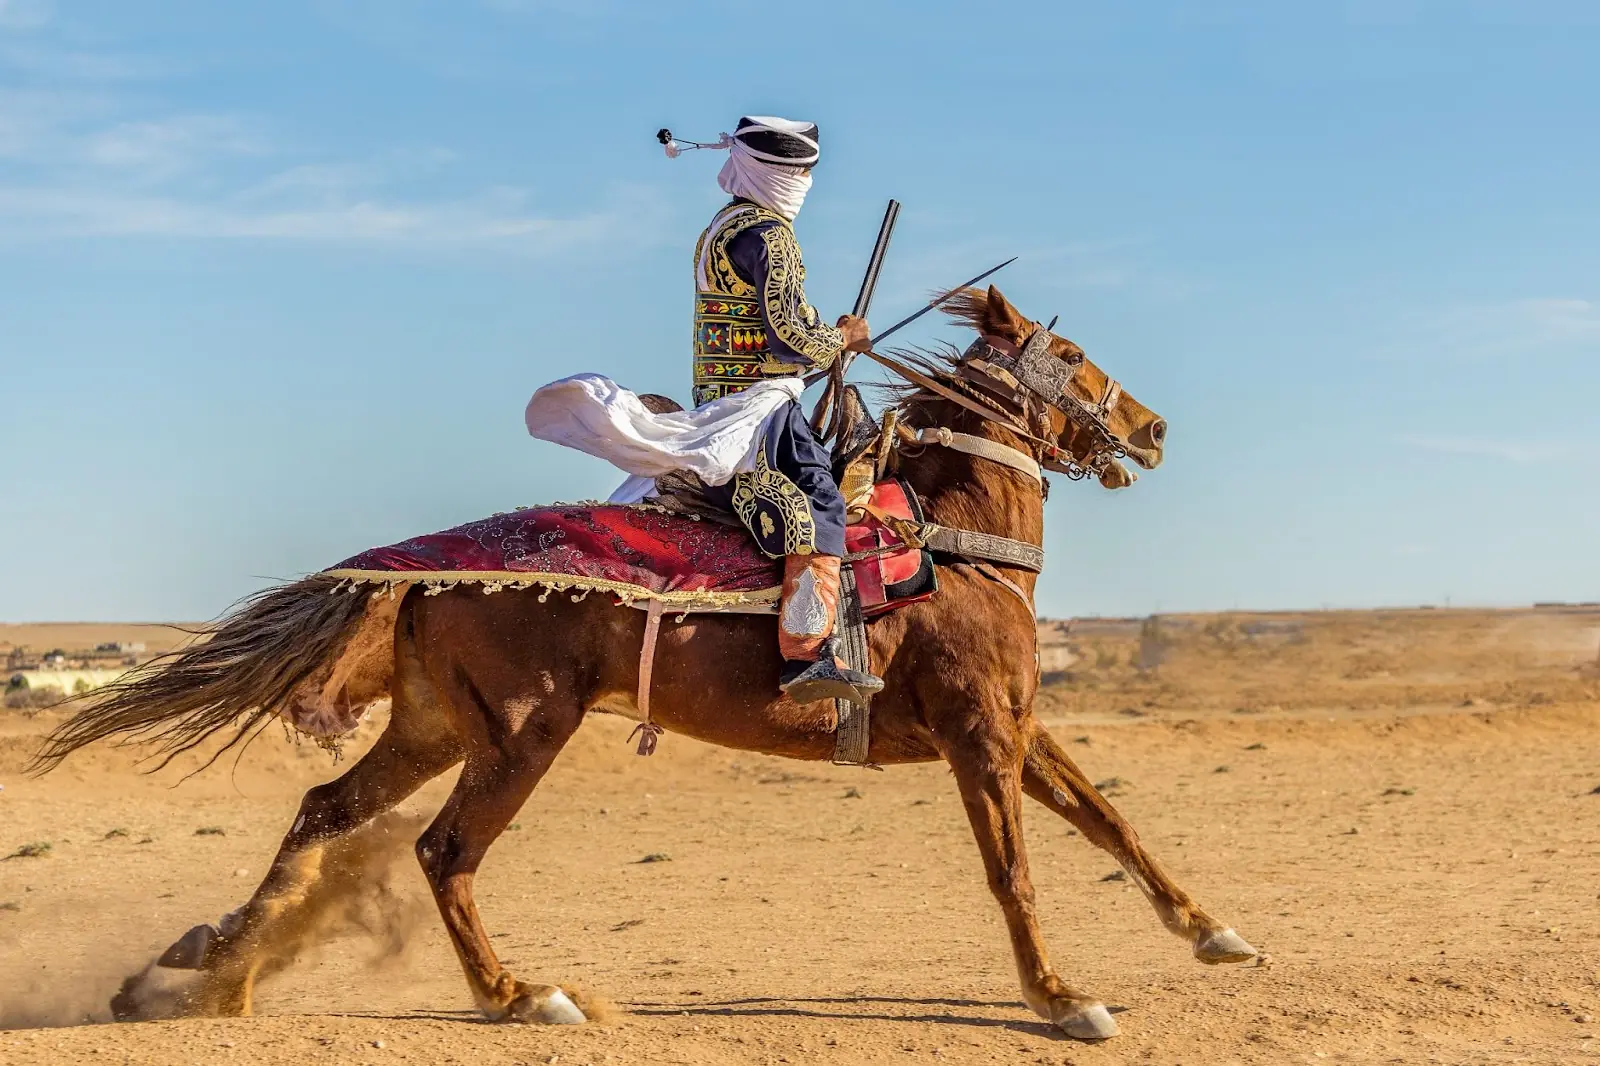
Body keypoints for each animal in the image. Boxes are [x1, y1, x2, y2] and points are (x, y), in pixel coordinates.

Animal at [37, 284, 1254, 1037]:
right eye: (1073, 356)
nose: (1152, 429)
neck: (955, 546)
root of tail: (424, 574)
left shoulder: (1018, 729)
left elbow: (1112, 822)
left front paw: (1213, 934)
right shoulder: (977, 736)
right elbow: (1016, 870)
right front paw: (1061, 998)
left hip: (433, 724)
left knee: (326, 810)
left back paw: (205, 965)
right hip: (522, 730)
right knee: (441, 850)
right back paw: (519, 995)